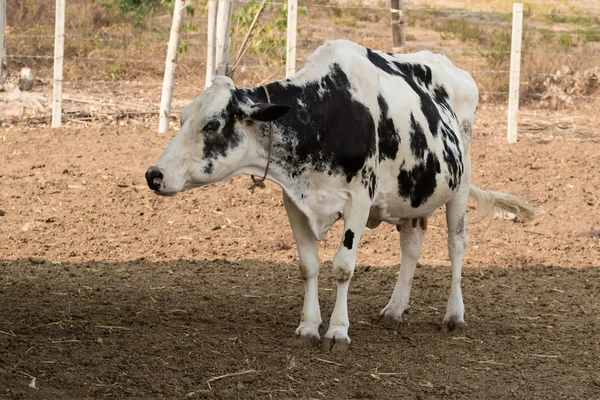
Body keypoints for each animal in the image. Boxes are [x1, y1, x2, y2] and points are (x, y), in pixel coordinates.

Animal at [146, 39, 536, 350]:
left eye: (212, 123)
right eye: (182, 118)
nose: (154, 174)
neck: (324, 114)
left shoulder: (359, 201)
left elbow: (343, 267)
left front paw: (337, 331)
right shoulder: (295, 201)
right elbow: (308, 265)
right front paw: (308, 326)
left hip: (460, 183)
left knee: (457, 245)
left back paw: (454, 315)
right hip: (412, 194)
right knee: (411, 246)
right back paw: (395, 309)